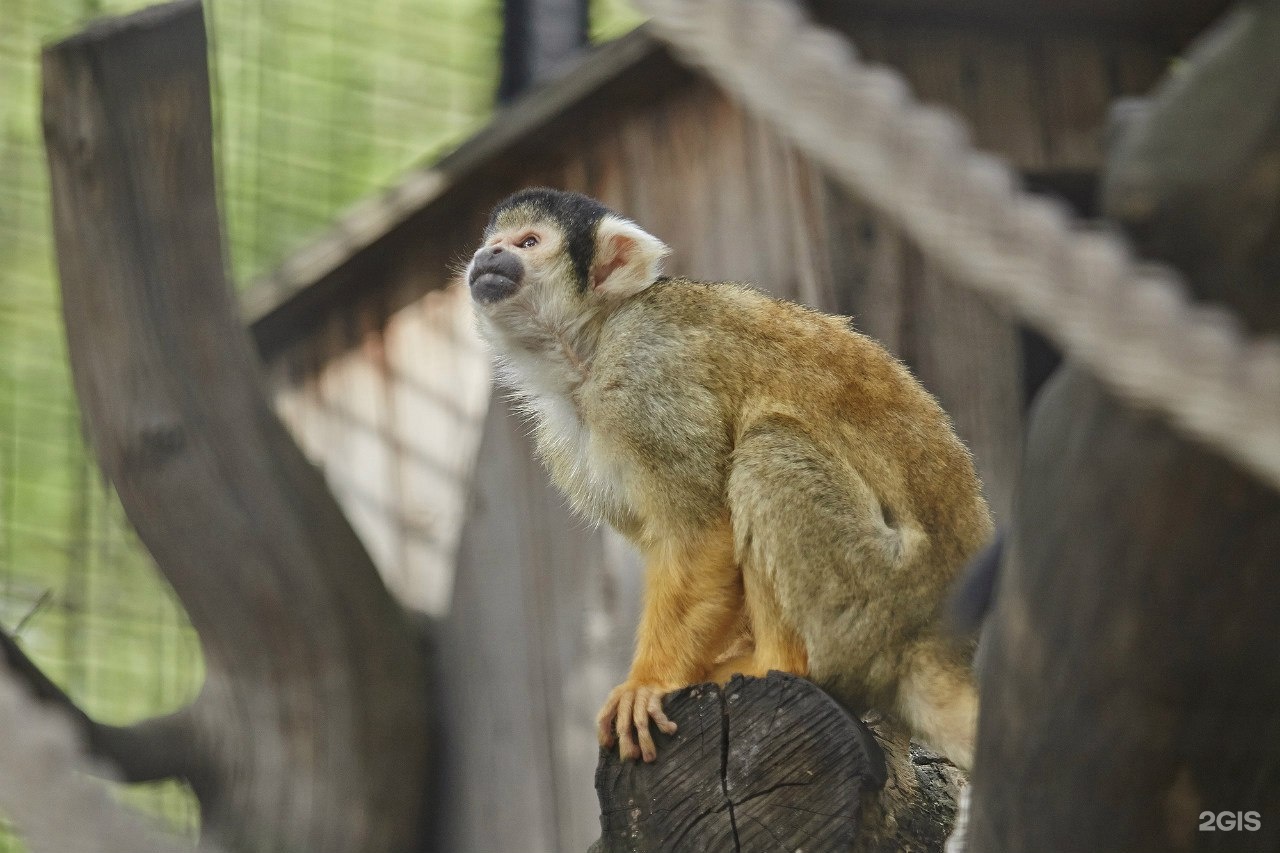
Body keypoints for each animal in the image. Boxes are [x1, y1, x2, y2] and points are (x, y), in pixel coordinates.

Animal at [465, 185, 993, 763]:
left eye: (528, 242)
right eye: (494, 241)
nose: (488, 256)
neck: (590, 347)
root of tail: (934, 639)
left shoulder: (648, 371)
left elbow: (699, 532)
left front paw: (649, 683)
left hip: (878, 595)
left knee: (768, 448)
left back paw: (780, 663)